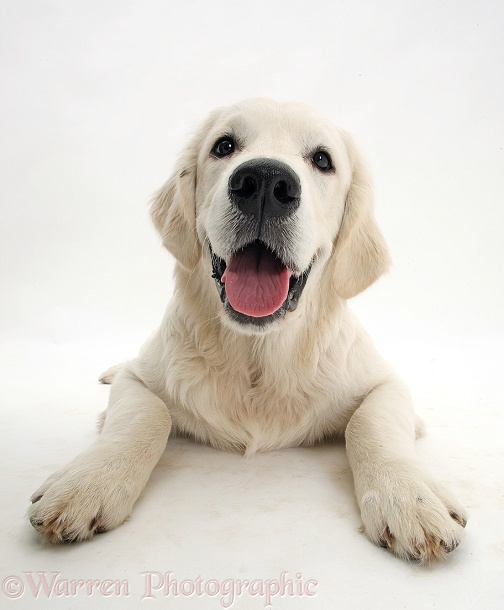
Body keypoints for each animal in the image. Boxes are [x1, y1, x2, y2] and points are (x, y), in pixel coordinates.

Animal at [29, 97, 466, 560]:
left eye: (323, 160)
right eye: (224, 146)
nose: (265, 182)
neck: (258, 357)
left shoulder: (387, 383)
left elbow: (371, 422)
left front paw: (408, 495)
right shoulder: (139, 380)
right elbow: (147, 415)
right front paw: (89, 481)